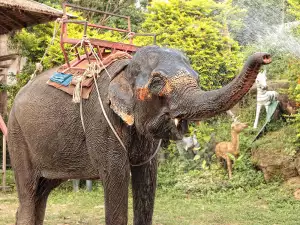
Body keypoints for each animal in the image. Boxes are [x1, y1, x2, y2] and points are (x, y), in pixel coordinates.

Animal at [7, 44, 270, 224]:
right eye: (157, 82)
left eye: (197, 78)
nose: (265, 56)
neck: (125, 69)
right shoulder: (101, 121)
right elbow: (117, 174)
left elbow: (147, 176)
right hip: (16, 136)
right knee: (29, 191)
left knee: (41, 192)